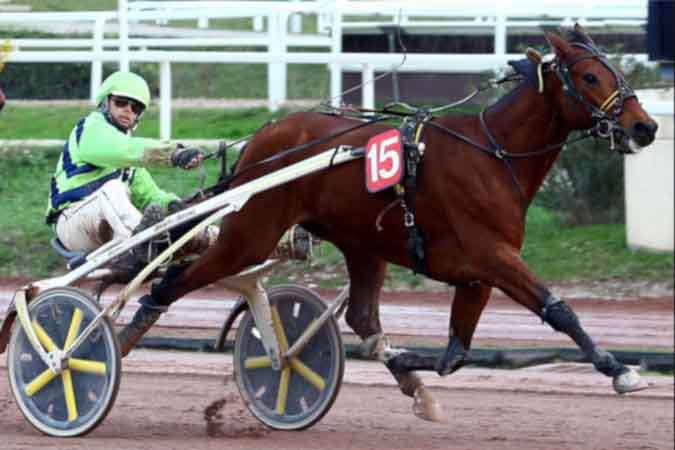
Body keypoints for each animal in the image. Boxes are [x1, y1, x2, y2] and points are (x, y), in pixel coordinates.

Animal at [146, 25, 658, 420]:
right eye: (589, 76)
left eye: (620, 73)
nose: (645, 127)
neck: (493, 156)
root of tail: (263, 138)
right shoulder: (494, 256)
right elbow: (559, 310)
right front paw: (619, 370)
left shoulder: (476, 276)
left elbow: (454, 355)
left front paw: (410, 368)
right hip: (252, 232)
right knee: (174, 280)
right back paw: (138, 320)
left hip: (360, 245)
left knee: (361, 316)